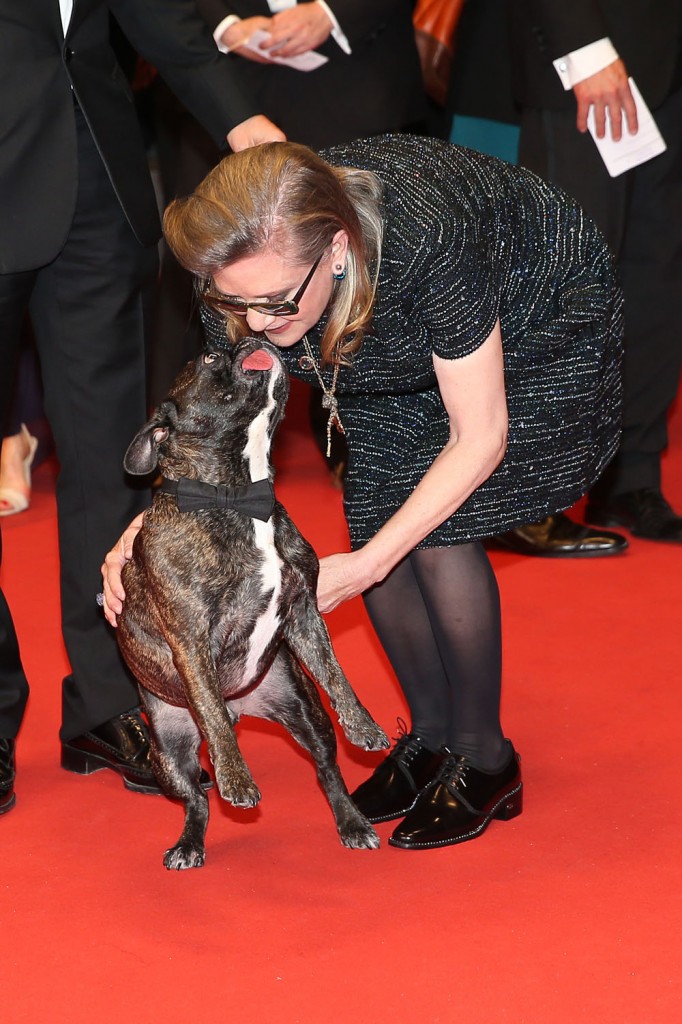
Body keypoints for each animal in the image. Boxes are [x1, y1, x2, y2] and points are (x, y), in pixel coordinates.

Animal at [116, 339, 387, 868]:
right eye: (206, 359)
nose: (246, 339)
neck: (237, 495)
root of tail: (244, 707)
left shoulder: (304, 614)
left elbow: (336, 673)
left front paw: (363, 725)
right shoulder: (190, 639)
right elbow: (209, 707)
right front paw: (238, 780)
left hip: (304, 710)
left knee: (327, 771)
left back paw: (352, 822)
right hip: (168, 753)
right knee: (197, 796)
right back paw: (189, 841)